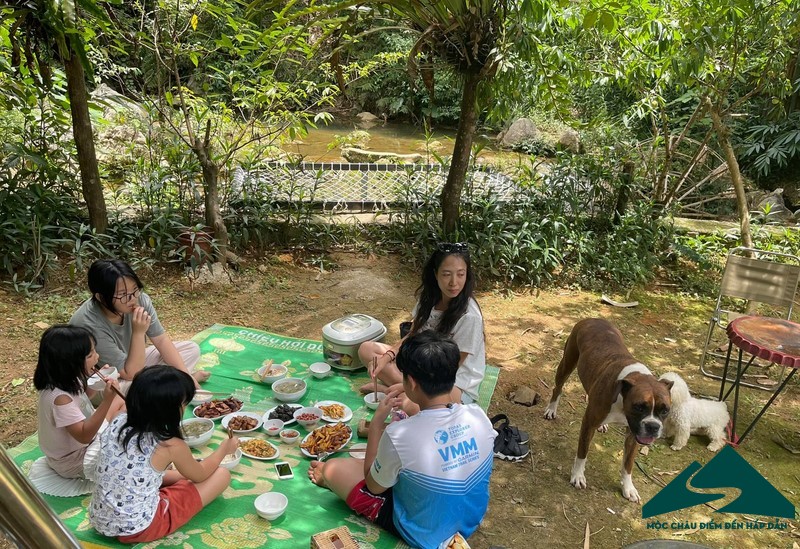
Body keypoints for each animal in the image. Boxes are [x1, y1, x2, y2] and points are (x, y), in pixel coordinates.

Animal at [544, 316, 668, 500]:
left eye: (665, 410)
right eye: (639, 407)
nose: (653, 426)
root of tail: (593, 318)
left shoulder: (633, 435)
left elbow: (628, 465)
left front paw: (628, 488)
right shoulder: (588, 424)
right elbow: (582, 452)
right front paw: (577, 476)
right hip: (567, 363)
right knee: (558, 388)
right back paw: (552, 409)